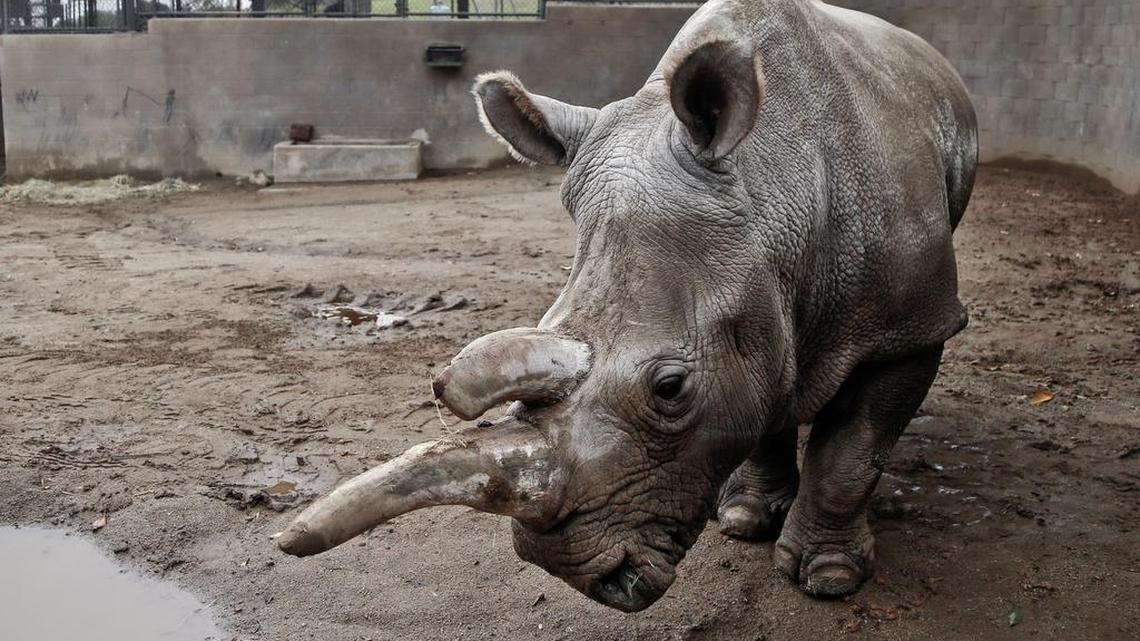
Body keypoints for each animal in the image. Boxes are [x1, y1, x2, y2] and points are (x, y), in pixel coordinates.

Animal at [278, 0, 977, 611]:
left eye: (669, 388)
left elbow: (851, 453)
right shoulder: (758, 295)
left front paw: (829, 579)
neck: (773, 189)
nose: (583, 578)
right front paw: (744, 519)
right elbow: (764, 392)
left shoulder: (913, 325)